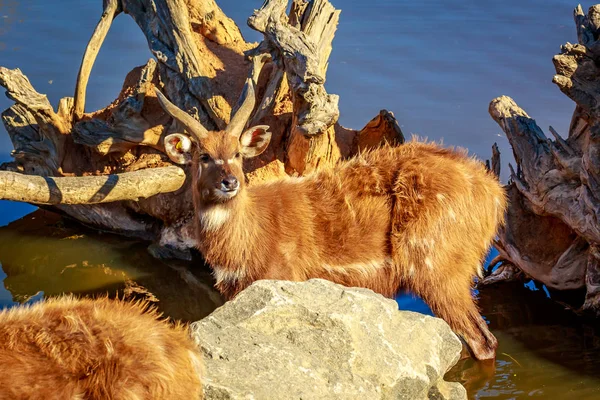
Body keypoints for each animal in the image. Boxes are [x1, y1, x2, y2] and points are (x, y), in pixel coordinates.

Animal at [155, 79, 506, 360]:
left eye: (238, 154)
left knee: (483, 341)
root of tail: (494, 194)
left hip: (437, 270)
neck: (248, 237)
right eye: (203, 156)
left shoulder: (282, 278)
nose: (230, 182)